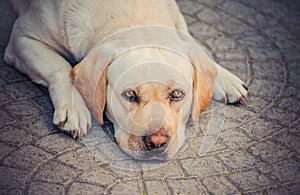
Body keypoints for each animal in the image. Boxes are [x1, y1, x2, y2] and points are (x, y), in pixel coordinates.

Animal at [5, 0, 248, 159]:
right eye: (130, 95)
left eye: (177, 94)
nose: (157, 141)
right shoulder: (20, 37)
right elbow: (60, 67)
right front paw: (73, 108)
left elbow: (195, 45)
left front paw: (222, 76)